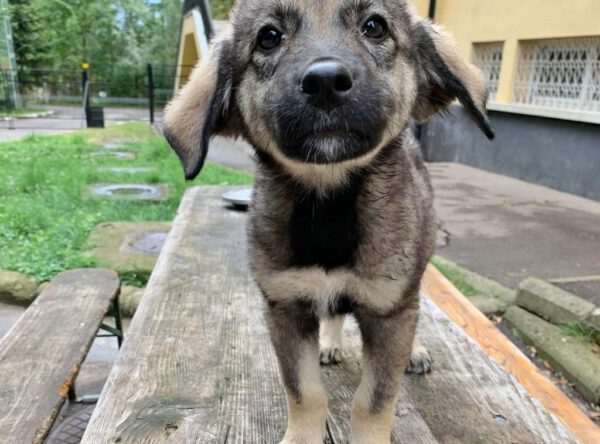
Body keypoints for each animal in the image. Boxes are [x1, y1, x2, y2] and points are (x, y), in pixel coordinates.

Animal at [163, 1, 492, 442]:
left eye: (375, 27)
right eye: (268, 37)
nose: (325, 83)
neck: (329, 207)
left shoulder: (388, 312)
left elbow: (374, 400)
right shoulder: (286, 307)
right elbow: (304, 392)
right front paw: (301, 434)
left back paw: (417, 350)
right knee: (335, 311)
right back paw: (330, 343)